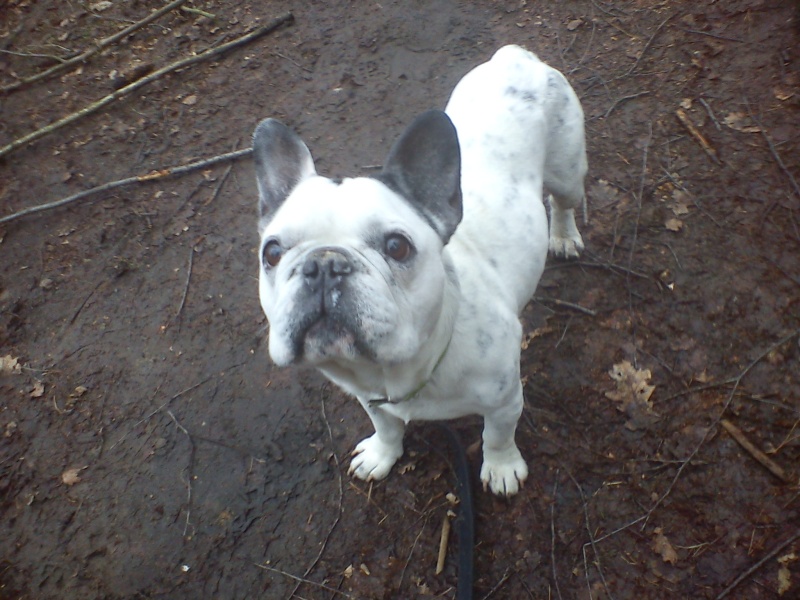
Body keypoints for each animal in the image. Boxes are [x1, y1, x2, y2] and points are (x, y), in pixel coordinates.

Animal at [253, 45, 584, 496]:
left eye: (397, 246)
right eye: (271, 253)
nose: (324, 263)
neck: (399, 372)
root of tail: (515, 57)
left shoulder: (505, 400)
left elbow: (497, 435)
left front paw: (501, 468)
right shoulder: (371, 398)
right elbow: (387, 427)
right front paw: (381, 455)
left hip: (569, 169)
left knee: (563, 200)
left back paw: (564, 235)